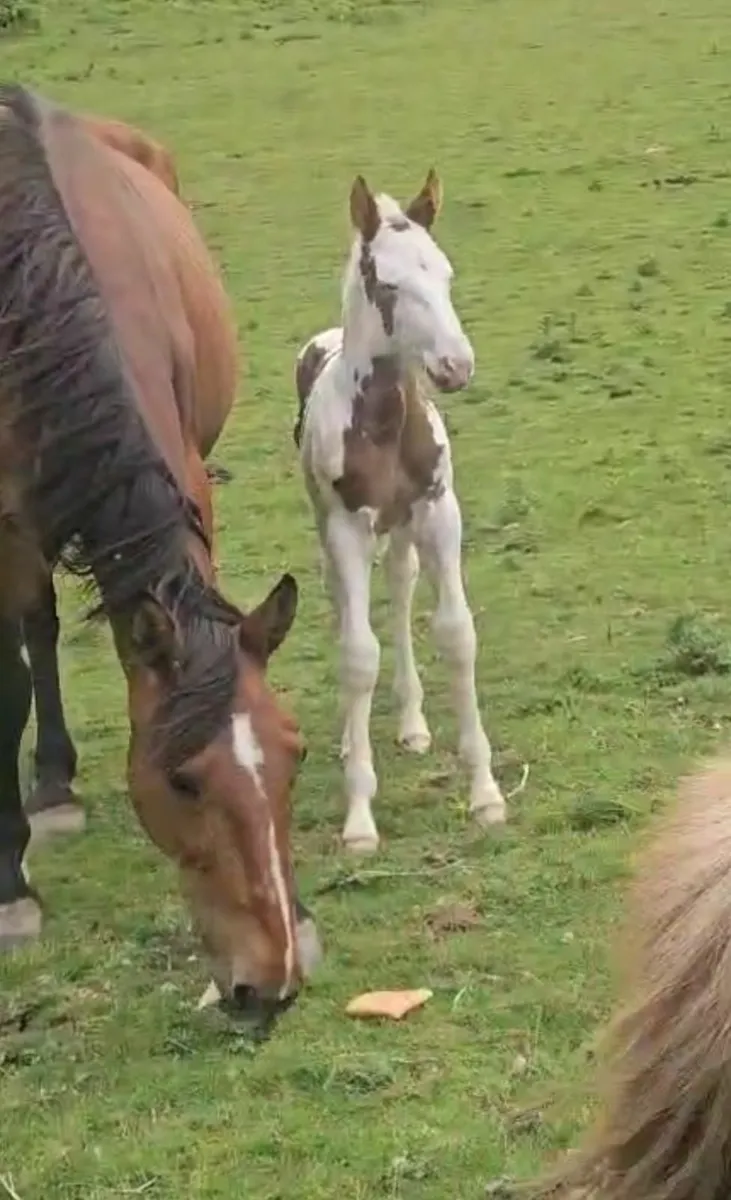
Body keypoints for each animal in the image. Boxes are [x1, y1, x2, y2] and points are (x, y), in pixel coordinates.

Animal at [294, 170, 506, 853]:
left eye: (444, 273)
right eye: (387, 284)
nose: (455, 366)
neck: (384, 422)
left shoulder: (439, 513)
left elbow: (456, 634)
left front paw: (486, 793)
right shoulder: (346, 528)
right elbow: (358, 655)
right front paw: (360, 820)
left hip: (406, 528)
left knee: (403, 582)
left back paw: (412, 722)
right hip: (332, 527)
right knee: (345, 606)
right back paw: (347, 739)